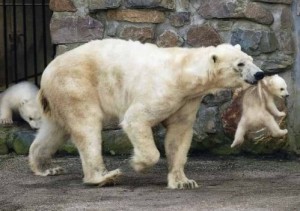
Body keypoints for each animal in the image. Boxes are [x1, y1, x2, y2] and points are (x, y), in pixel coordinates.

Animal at [29, 38, 264, 189]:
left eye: (251, 59)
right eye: (240, 63)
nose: (260, 74)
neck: (185, 73)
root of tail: (46, 72)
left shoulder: (187, 100)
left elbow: (179, 134)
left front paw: (183, 182)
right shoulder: (164, 91)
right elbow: (136, 119)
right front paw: (138, 164)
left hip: (60, 96)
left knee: (55, 130)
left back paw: (46, 167)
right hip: (75, 85)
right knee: (87, 126)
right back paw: (104, 177)